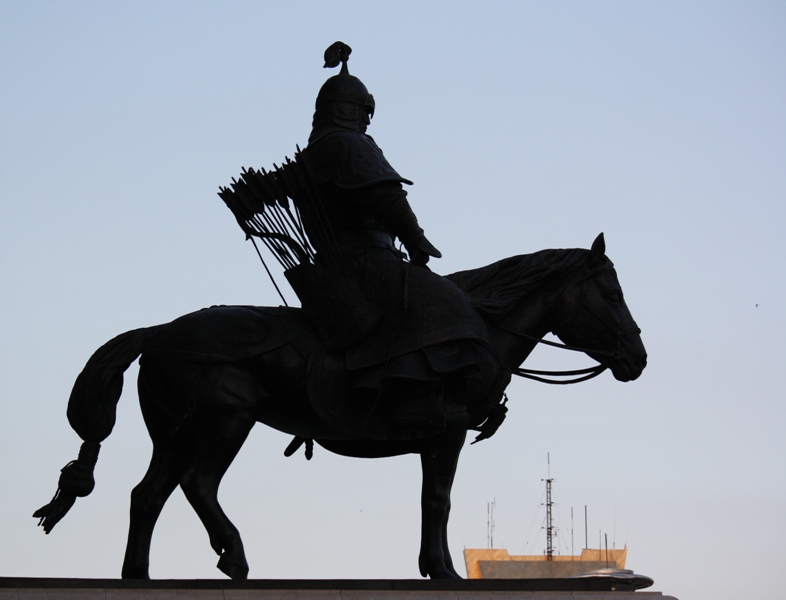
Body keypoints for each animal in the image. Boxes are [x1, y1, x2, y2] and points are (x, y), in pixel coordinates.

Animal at [33, 232, 644, 580]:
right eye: (612, 293)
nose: (637, 358)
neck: (479, 330)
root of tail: (159, 333)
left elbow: (433, 502)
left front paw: (435, 567)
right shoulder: (445, 436)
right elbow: (438, 501)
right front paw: (442, 571)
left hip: (174, 432)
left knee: (147, 495)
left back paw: (137, 575)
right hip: (225, 421)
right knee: (198, 484)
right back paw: (234, 556)